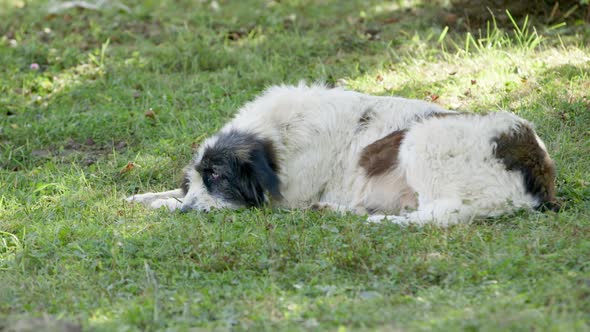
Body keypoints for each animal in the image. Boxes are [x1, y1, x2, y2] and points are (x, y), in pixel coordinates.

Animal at [126, 84, 560, 227]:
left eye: (218, 176)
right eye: (201, 175)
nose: (188, 213)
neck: (280, 139)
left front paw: (167, 206)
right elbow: (166, 193)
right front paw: (145, 197)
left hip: (419, 139)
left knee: (439, 216)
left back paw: (375, 220)